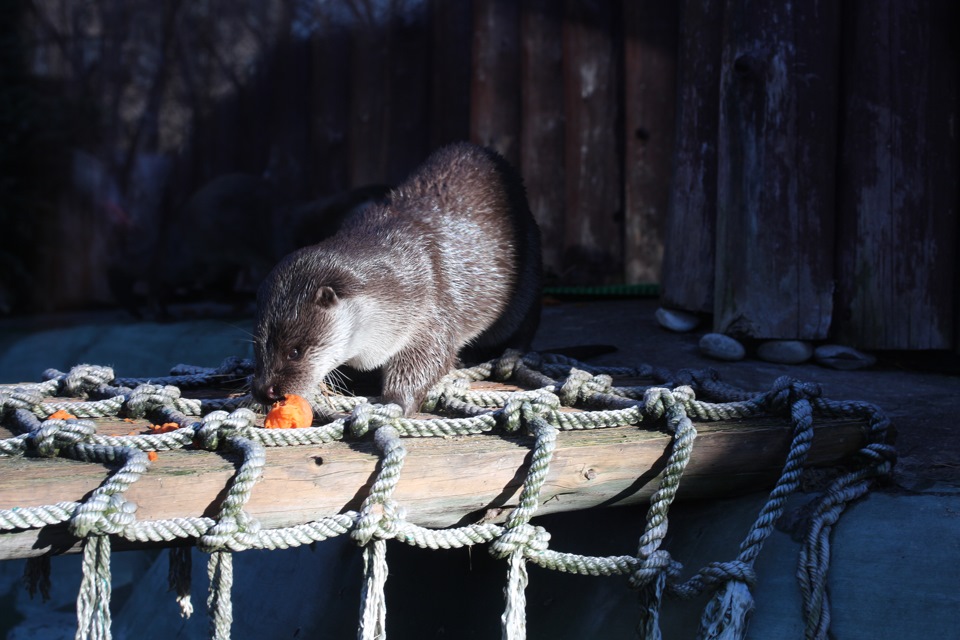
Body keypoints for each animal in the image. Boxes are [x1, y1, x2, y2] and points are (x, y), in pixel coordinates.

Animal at [249, 143, 540, 416]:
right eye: (258, 349)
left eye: (294, 352)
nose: (264, 390)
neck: (399, 284)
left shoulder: (430, 311)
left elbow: (425, 361)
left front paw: (395, 402)